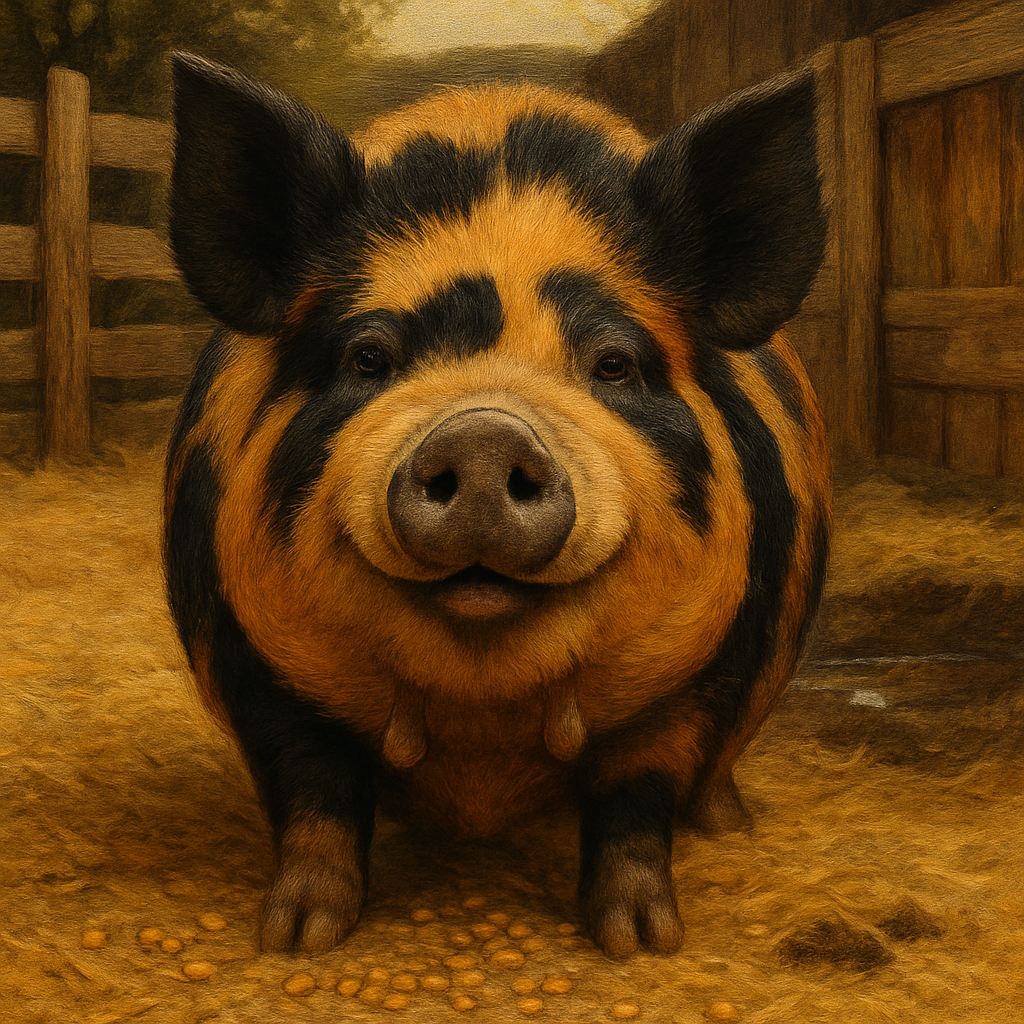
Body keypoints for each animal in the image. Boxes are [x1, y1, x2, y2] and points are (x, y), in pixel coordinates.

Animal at [163, 51, 830, 960]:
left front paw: (643, 943)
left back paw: (731, 828)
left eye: (615, 363)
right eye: (367, 356)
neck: (484, 721)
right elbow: (317, 800)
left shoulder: (694, 681)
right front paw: (296, 939)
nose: (483, 432)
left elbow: (634, 805)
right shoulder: (258, 671)